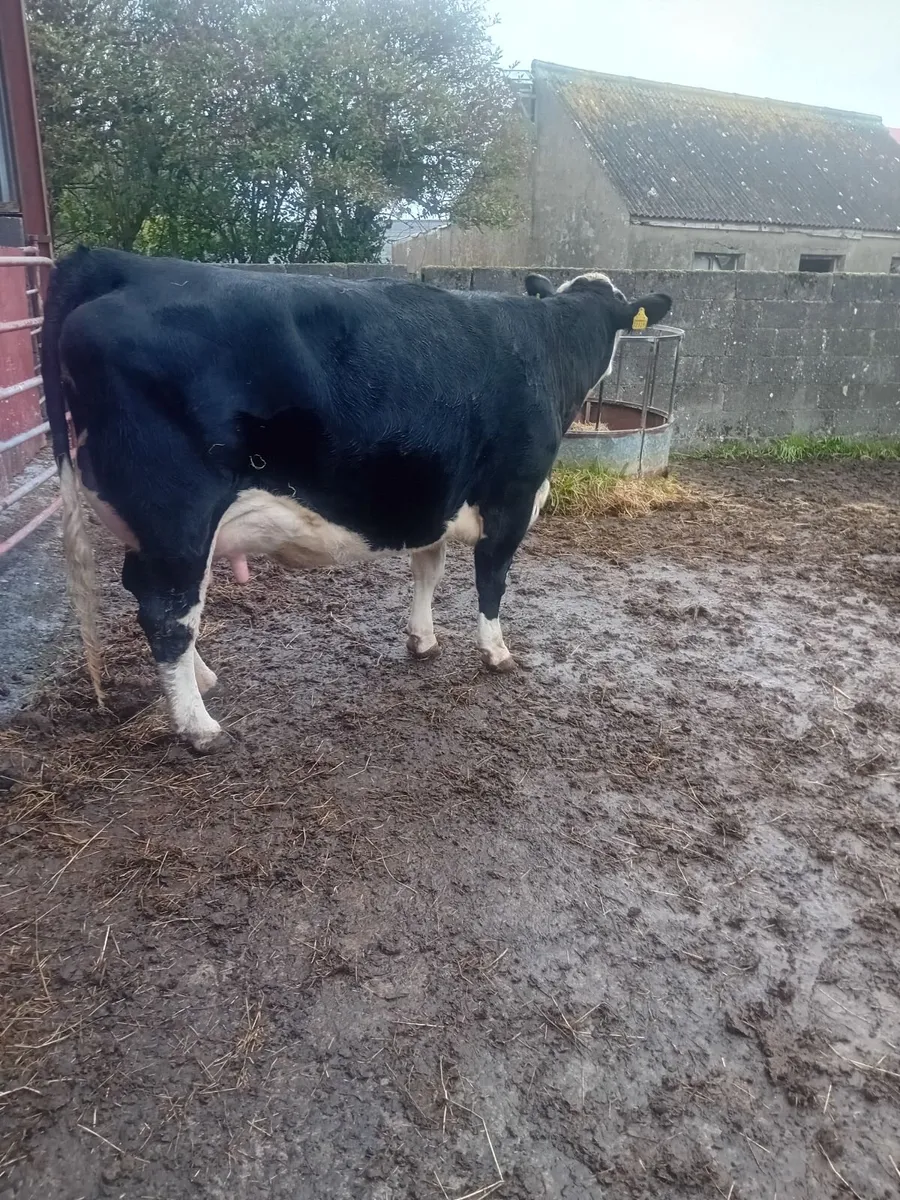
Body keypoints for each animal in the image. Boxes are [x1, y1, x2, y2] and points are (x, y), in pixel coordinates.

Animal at [43, 249, 671, 751]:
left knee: (160, 599)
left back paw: (202, 681)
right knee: (166, 612)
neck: (547, 344)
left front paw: (423, 640)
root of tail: (120, 263)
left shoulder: (435, 497)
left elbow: (428, 569)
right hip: (176, 514)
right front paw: (496, 653)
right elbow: (491, 581)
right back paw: (199, 726)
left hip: (158, 529)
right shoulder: (513, 498)